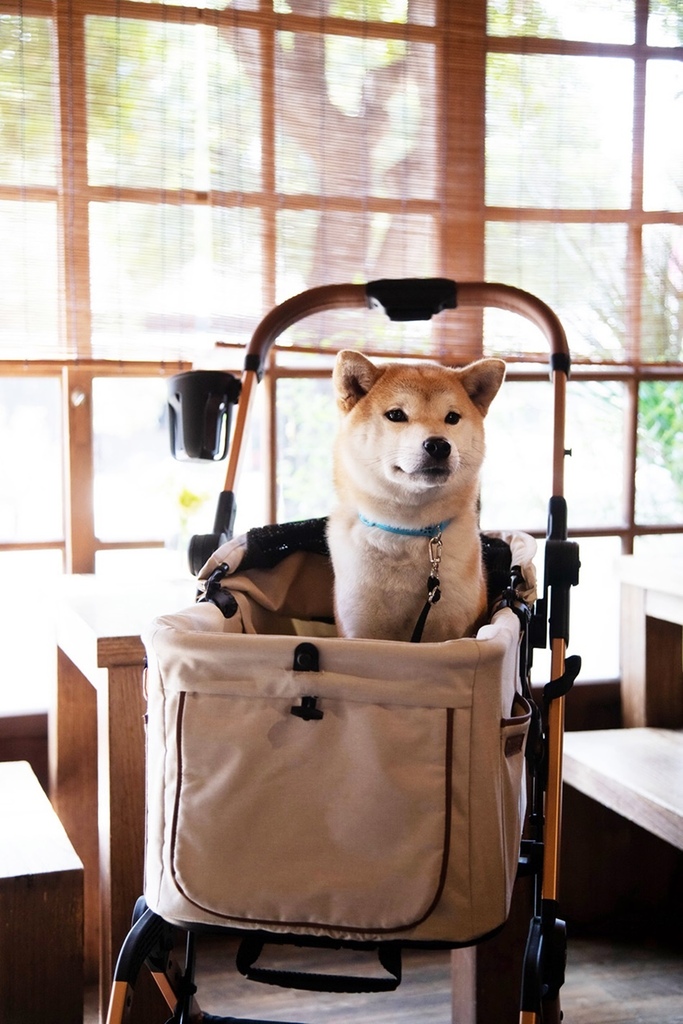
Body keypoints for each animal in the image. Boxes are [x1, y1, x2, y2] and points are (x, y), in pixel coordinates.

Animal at [325, 352, 507, 638]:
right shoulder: (359, 631)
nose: (439, 445)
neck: (406, 530)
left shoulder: (454, 632)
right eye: (396, 414)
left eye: (452, 417)